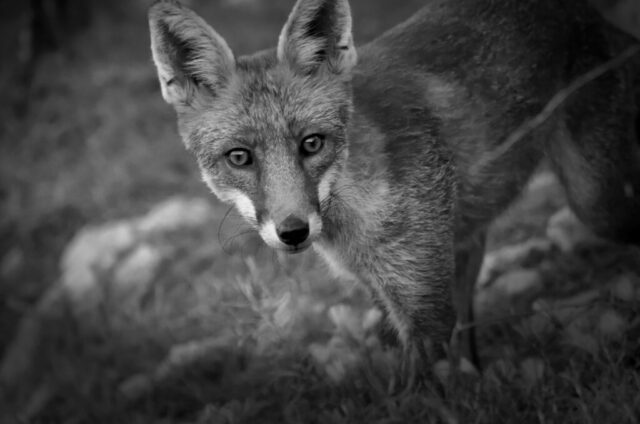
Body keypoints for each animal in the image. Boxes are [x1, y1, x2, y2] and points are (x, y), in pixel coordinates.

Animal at [148, 0, 640, 370]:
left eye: (312, 143)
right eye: (239, 157)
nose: (293, 232)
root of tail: (575, 7)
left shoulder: (422, 300)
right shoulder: (389, 290)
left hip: (597, 203)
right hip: (467, 239)